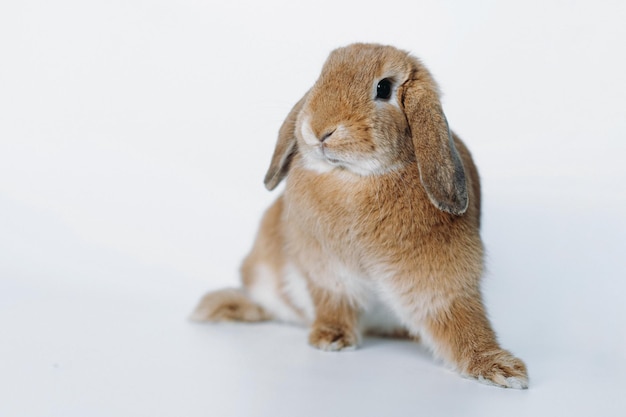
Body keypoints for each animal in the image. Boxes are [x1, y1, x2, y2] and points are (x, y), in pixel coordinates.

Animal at [190, 42, 528, 386]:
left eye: (384, 88)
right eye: (321, 78)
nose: (318, 130)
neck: (355, 177)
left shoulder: (437, 280)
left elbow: (460, 320)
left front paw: (500, 368)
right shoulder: (328, 272)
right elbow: (334, 304)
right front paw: (331, 339)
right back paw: (221, 307)